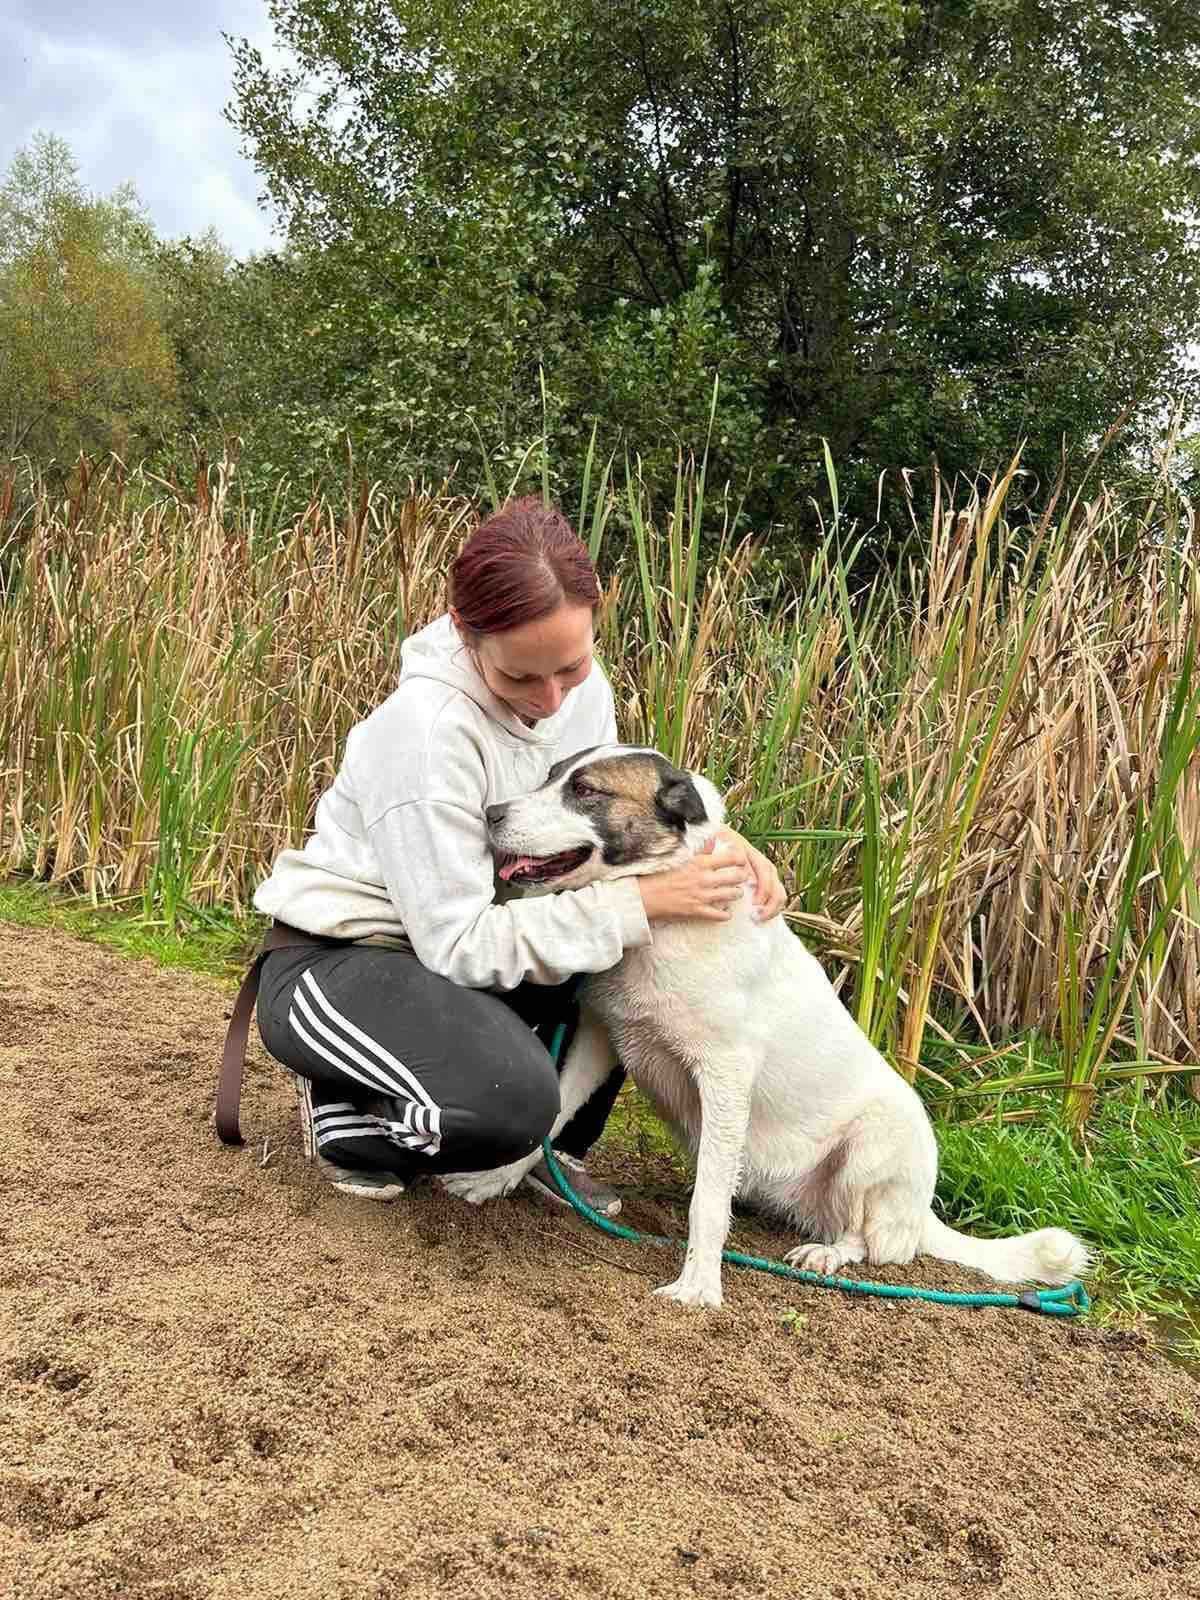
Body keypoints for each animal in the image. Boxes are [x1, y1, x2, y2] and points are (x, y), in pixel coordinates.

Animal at [444, 742, 1100, 1305]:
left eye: (585, 790)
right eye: (550, 775)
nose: (491, 812)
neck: (663, 914)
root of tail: (921, 1213)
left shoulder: (725, 1074)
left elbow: (708, 1202)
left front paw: (699, 1284)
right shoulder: (599, 1042)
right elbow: (553, 1115)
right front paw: (492, 1181)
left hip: (873, 1144)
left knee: (878, 1246)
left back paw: (829, 1255)